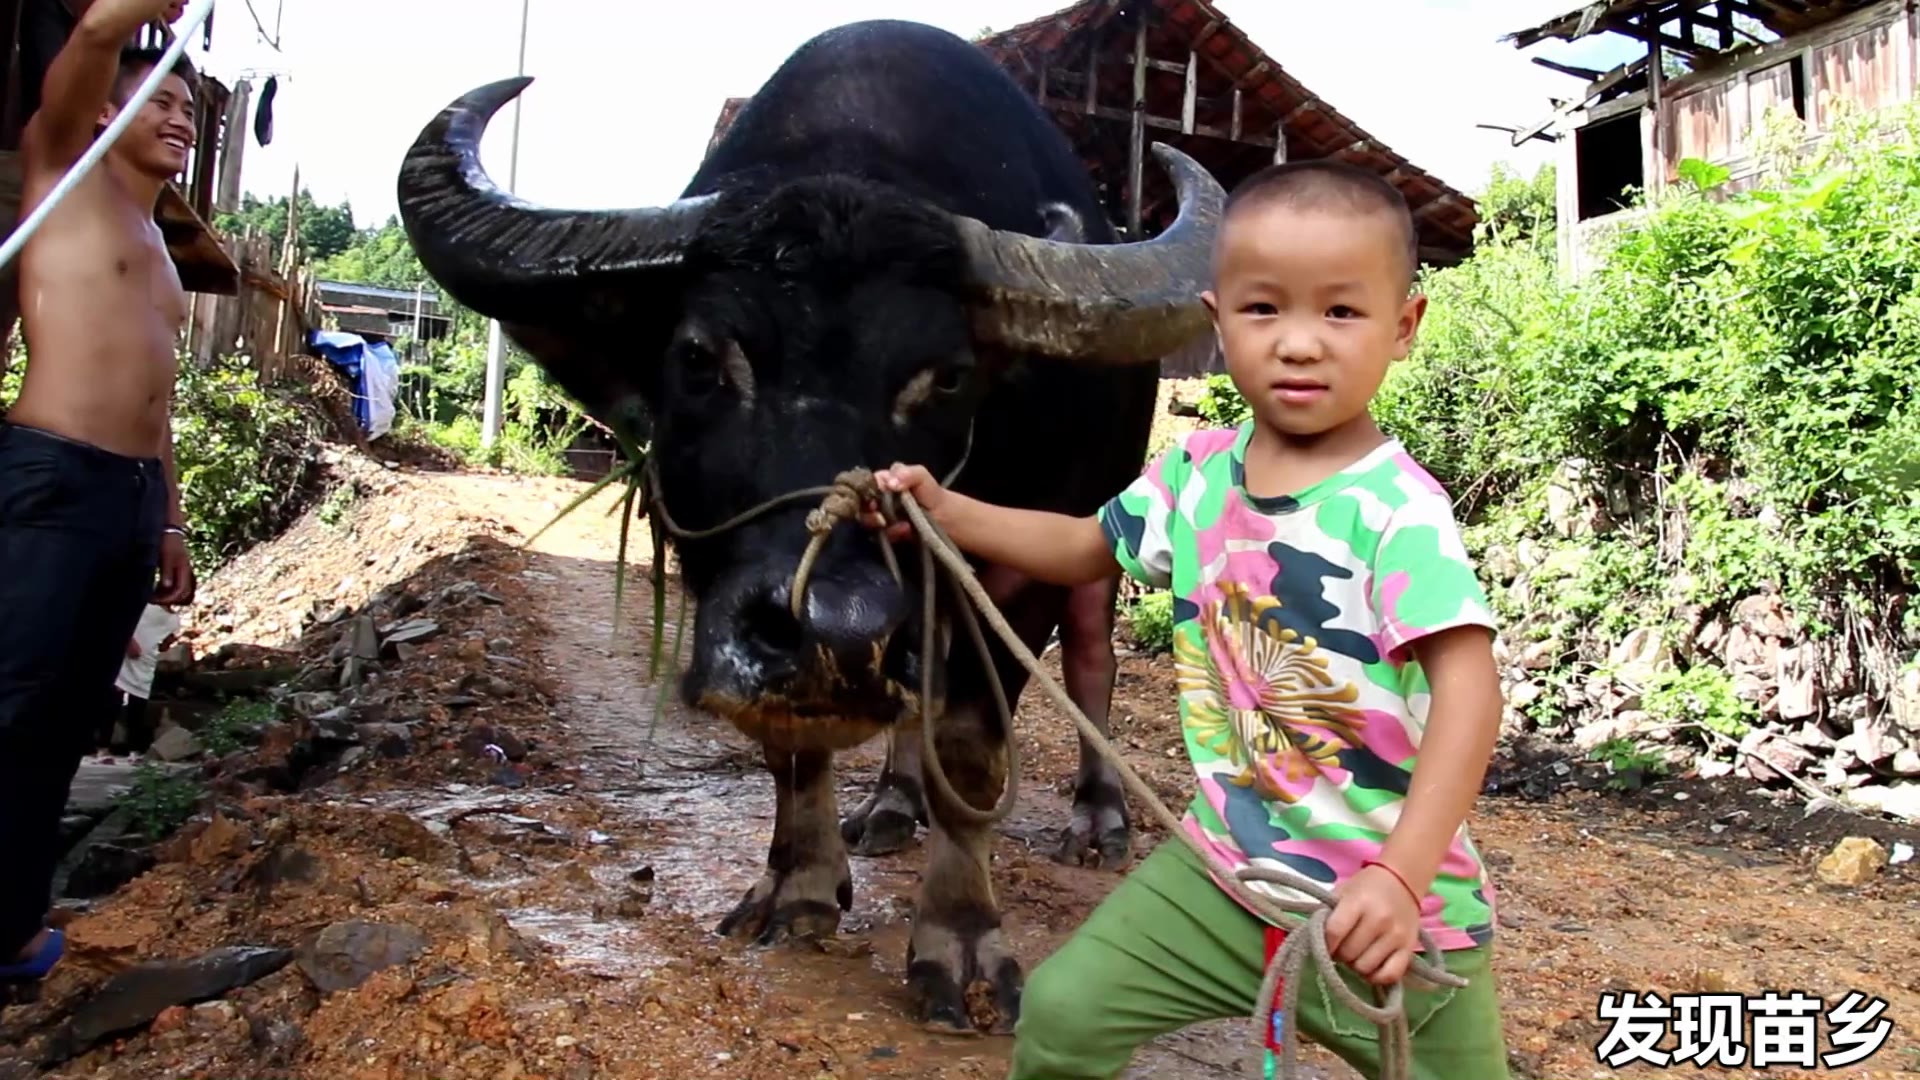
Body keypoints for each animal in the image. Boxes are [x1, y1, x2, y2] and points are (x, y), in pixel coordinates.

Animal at [397, 14, 1221, 1022]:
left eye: (947, 376)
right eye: (701, 357)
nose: (843, 624)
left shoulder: (1021, 564)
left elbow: (973, 746)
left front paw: (959, 941)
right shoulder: (717, 569)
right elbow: (790, 743)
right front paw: (797, 884)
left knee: (1090, 657)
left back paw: (1097, 816)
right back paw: (893, 803)